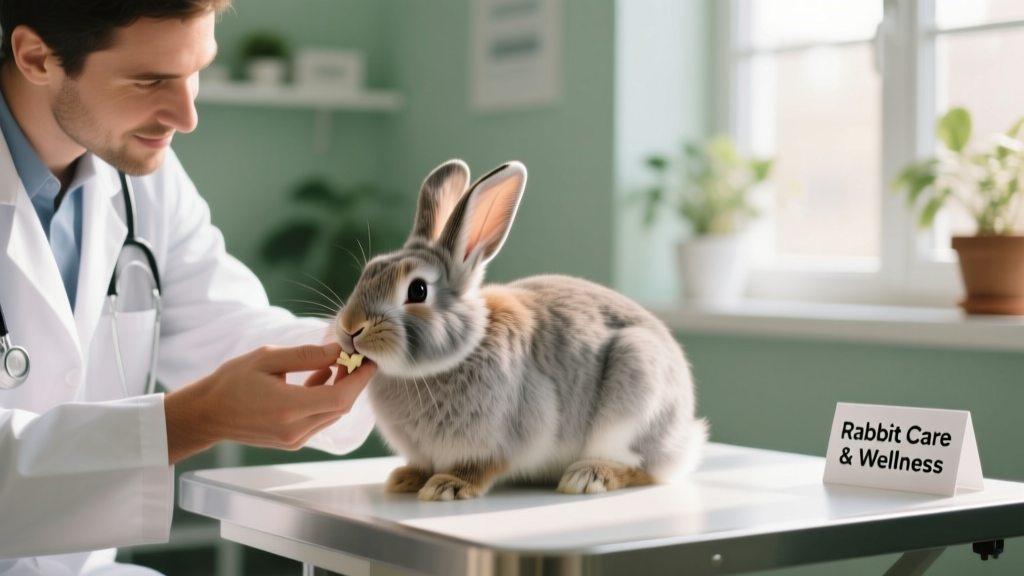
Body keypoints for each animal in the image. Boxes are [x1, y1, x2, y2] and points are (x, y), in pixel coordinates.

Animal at [335, 159, 707, 501]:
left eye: (418, 291)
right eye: (368, 271)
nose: (350, 328)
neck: (461, 352)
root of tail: (685, 432)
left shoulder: (506, 435)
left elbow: (481, 467)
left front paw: (447, 486)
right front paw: (406, 479)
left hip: (634, 395)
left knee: (648, 470)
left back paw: (588, 477)